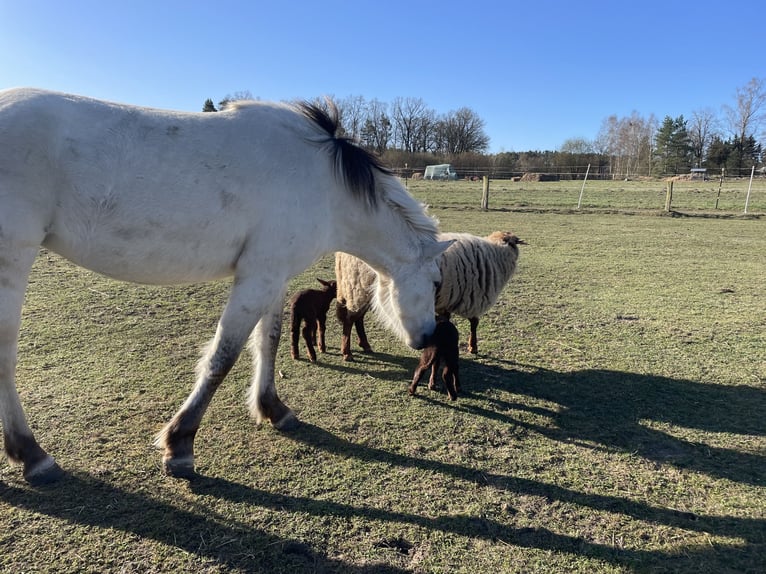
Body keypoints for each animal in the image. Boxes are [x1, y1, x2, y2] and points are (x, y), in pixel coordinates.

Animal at [0, 88, 452, 483]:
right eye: (434, 281)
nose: (428, 336)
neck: (323, 183)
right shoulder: (257, 278)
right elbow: (223, 357)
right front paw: (180, 444)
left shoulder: (272, 276)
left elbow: (268, 342)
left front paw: (273, 409)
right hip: (12, 260)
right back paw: (32, 454)